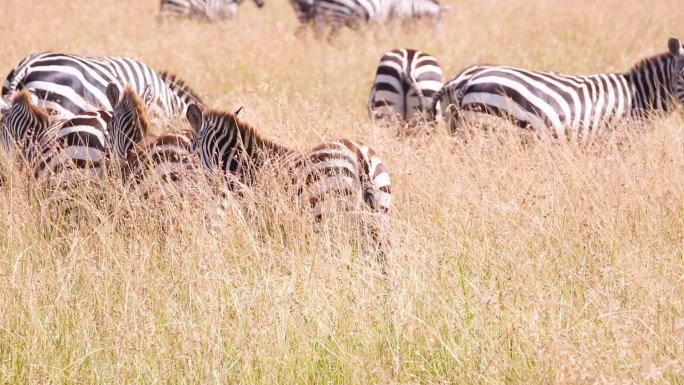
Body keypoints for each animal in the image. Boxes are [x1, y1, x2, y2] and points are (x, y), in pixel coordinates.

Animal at [184, 103, 392, 260]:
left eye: (190, 152)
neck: (247, 166)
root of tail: (359, 155)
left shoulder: (262, 219)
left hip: (330, 214)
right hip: (379, 215)